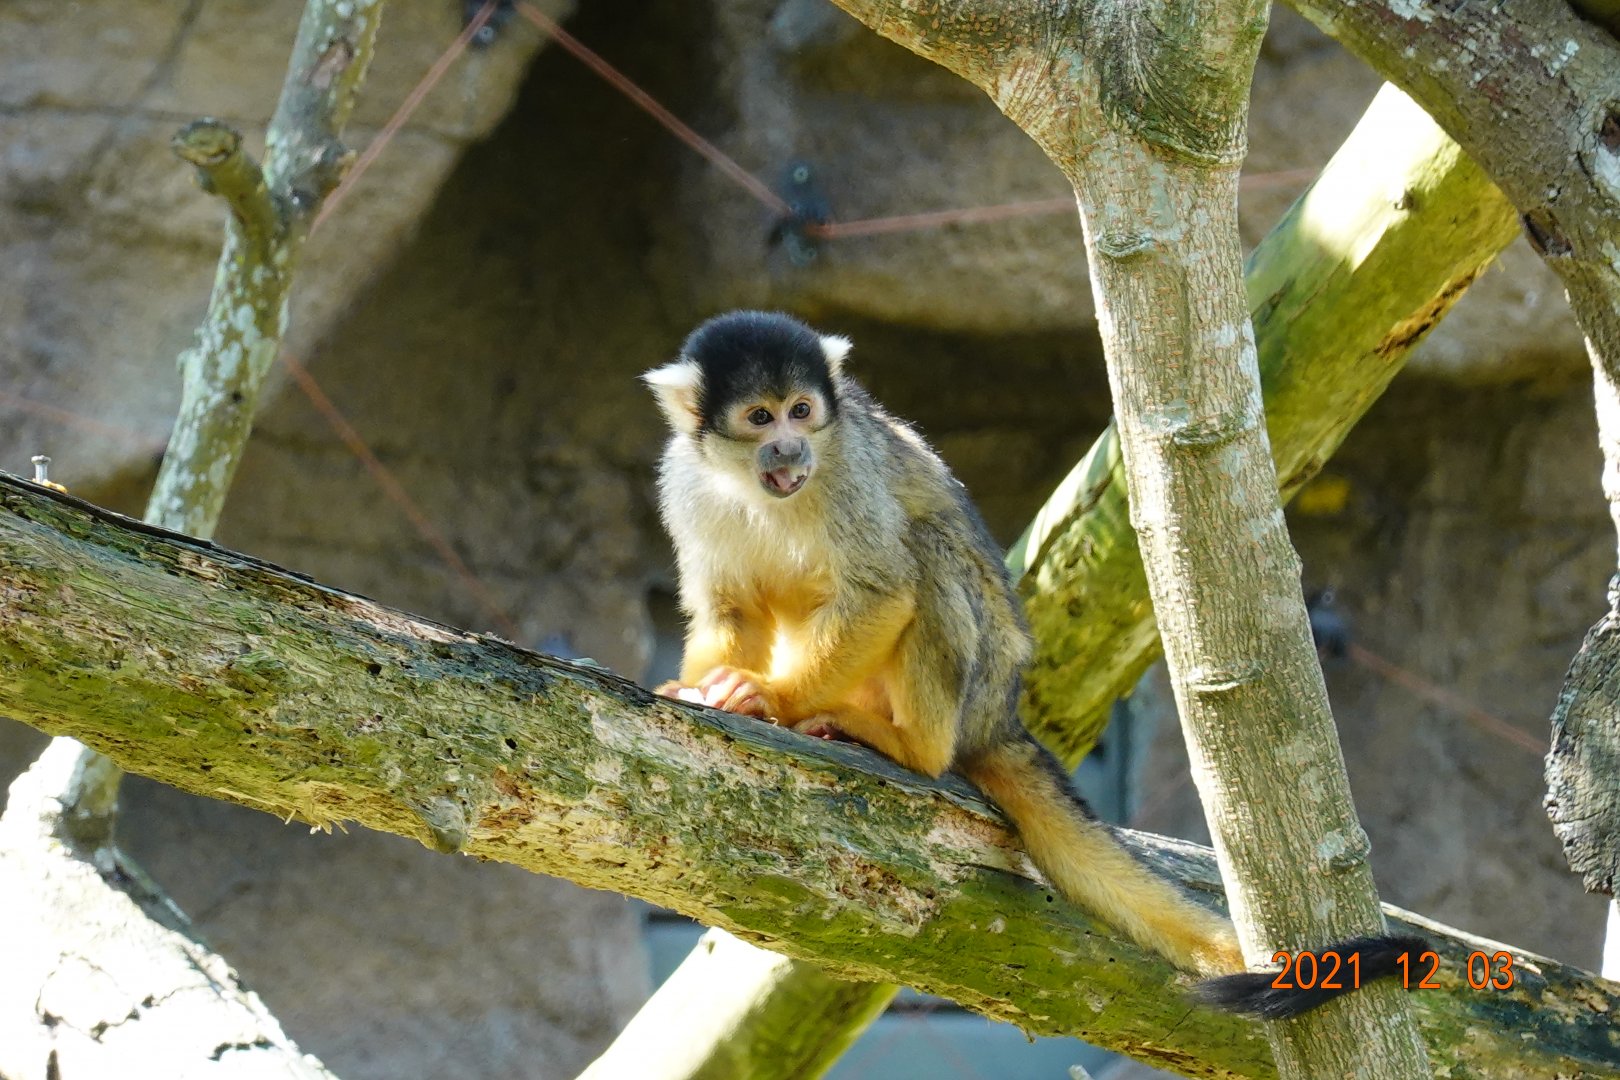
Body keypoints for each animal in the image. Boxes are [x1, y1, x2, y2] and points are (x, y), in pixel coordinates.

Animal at [643, 310, 1423, 1019]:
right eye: (760, 417)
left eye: (802, 412)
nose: (788, 448)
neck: (753, 484)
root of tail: (1001, 714)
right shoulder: (684, 481)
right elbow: (729, 610)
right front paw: (704, 685)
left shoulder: (844, 470)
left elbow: (883, 589)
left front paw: (768, 699)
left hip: (981, 676)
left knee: (928, 550)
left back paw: (911, 745)